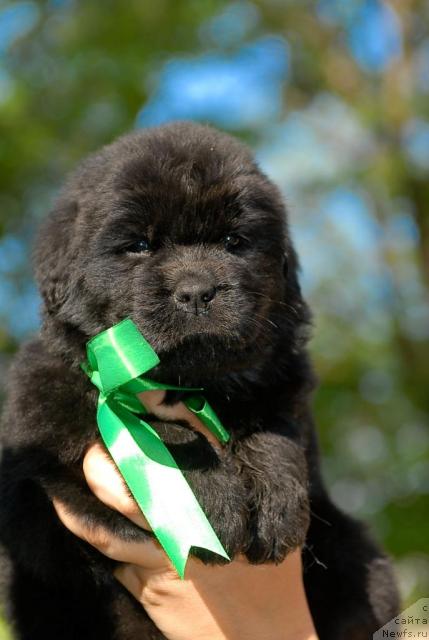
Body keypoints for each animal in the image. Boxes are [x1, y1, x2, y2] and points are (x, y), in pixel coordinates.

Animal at [1, 121, 400, 640]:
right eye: (140, 245)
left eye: (233, 241)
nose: (197, 291)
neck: (187, 384)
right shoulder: (46, 435)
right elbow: (163, 438)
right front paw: (214, 500)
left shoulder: (284, 392)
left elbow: (274, 432)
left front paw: (275, 501)